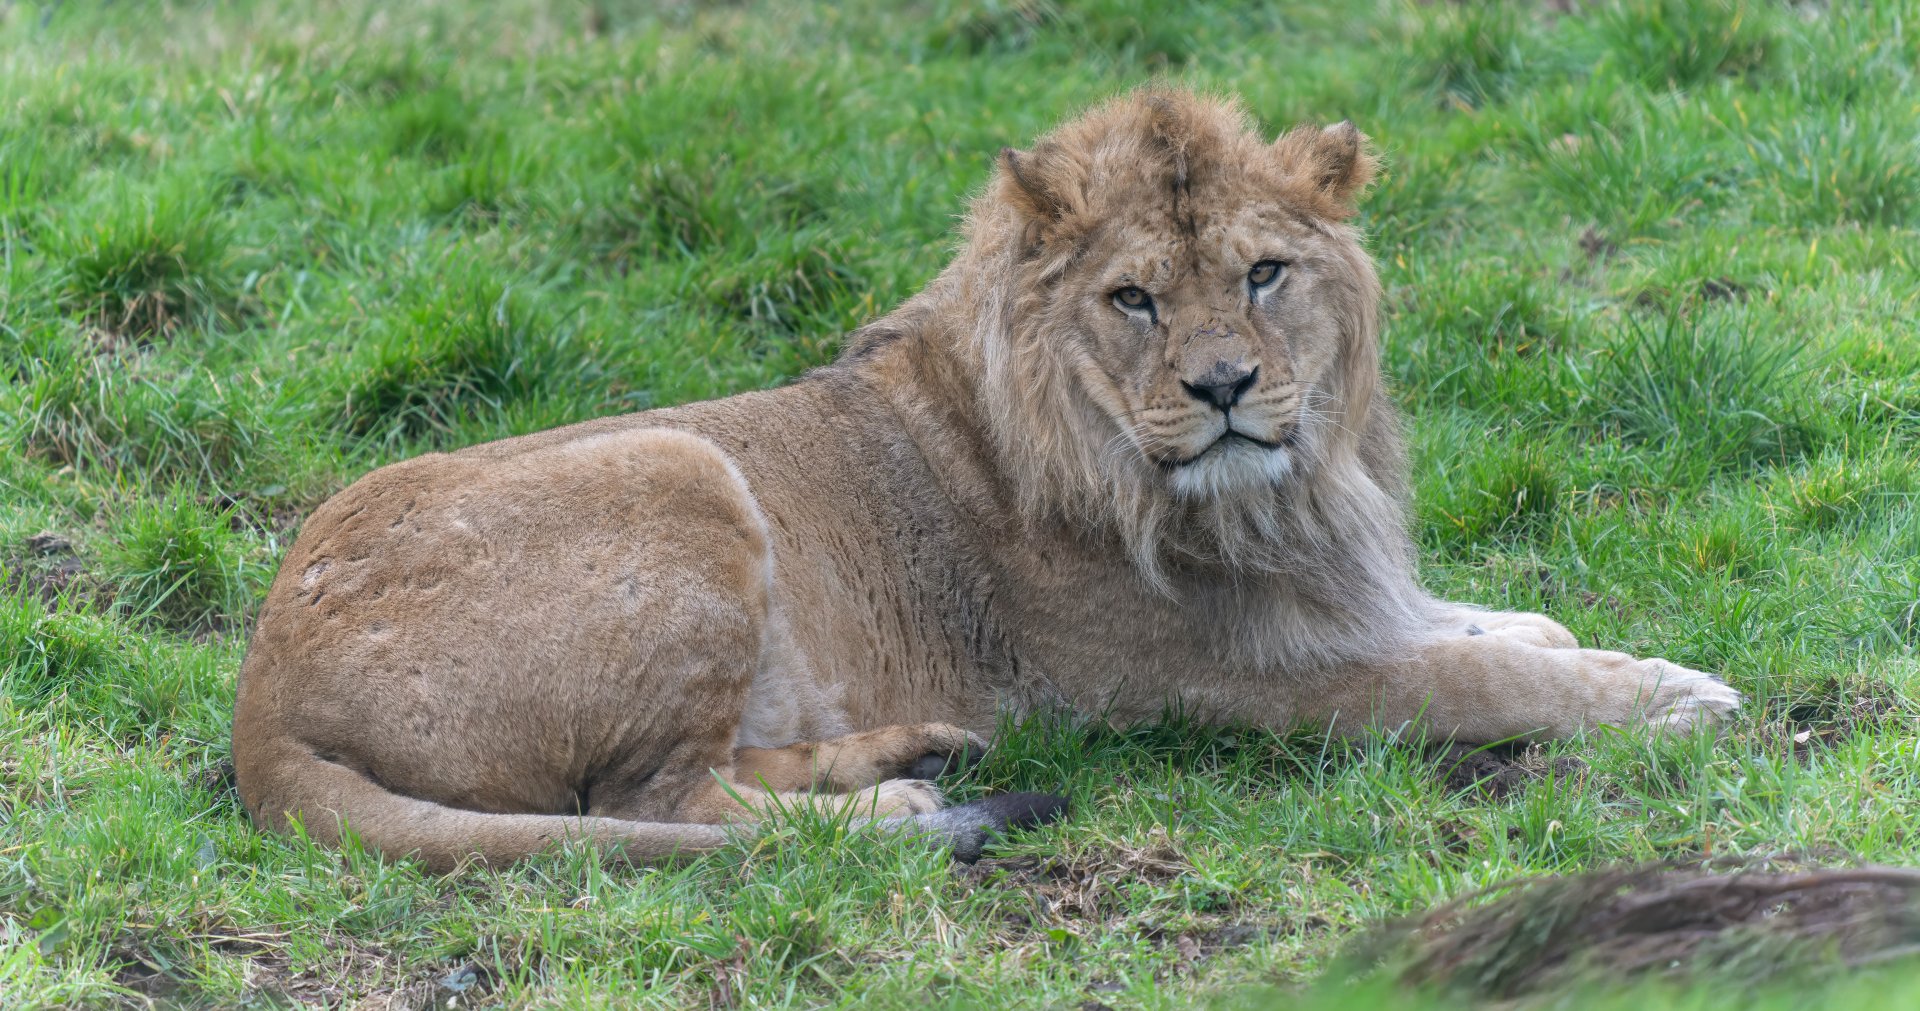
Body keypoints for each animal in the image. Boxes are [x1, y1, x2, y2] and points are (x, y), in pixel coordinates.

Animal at [231, 89, 1741, 872]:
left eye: (1264, 272)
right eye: (1135, 298)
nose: (1225, 388)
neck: (1286, 488)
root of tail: (262, 705)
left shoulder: (1330, 590)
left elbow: (1489, 624)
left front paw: (1588, 643)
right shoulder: (1236, 683)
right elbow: (1476, 677)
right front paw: (1674, 697)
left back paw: (924, 751)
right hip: (678, 460)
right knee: (654, 808)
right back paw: (905, 806)